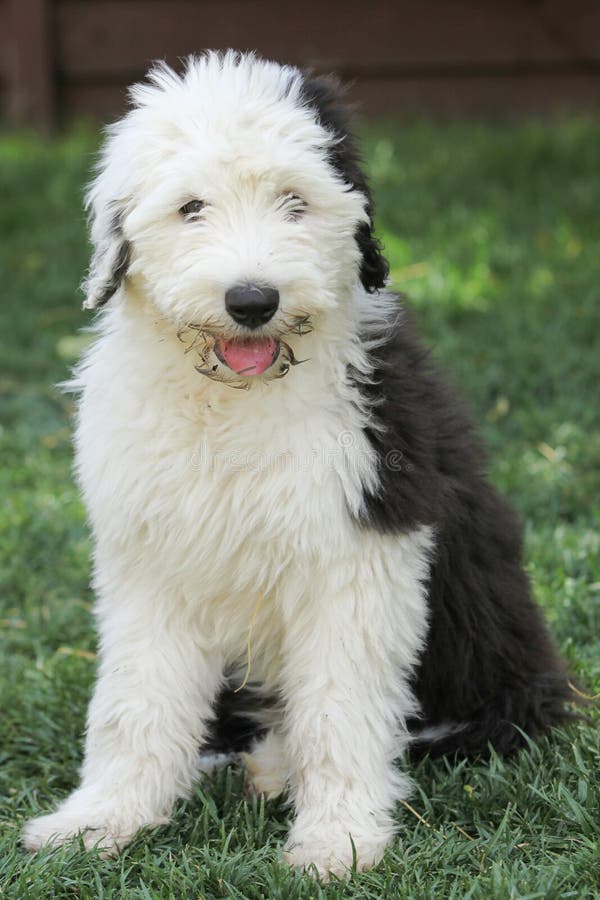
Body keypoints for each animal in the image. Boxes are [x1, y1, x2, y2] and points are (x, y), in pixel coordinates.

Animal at [23, 51, 576, 880]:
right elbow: (135, 699)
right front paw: (98, 821)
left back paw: (282, 765)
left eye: (295, 201)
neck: (236, 403)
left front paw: (337, 840)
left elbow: (343, 706)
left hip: (490, 660)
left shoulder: (361, 548)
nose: (252, 300)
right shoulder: (150, 558)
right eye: (191, 208)